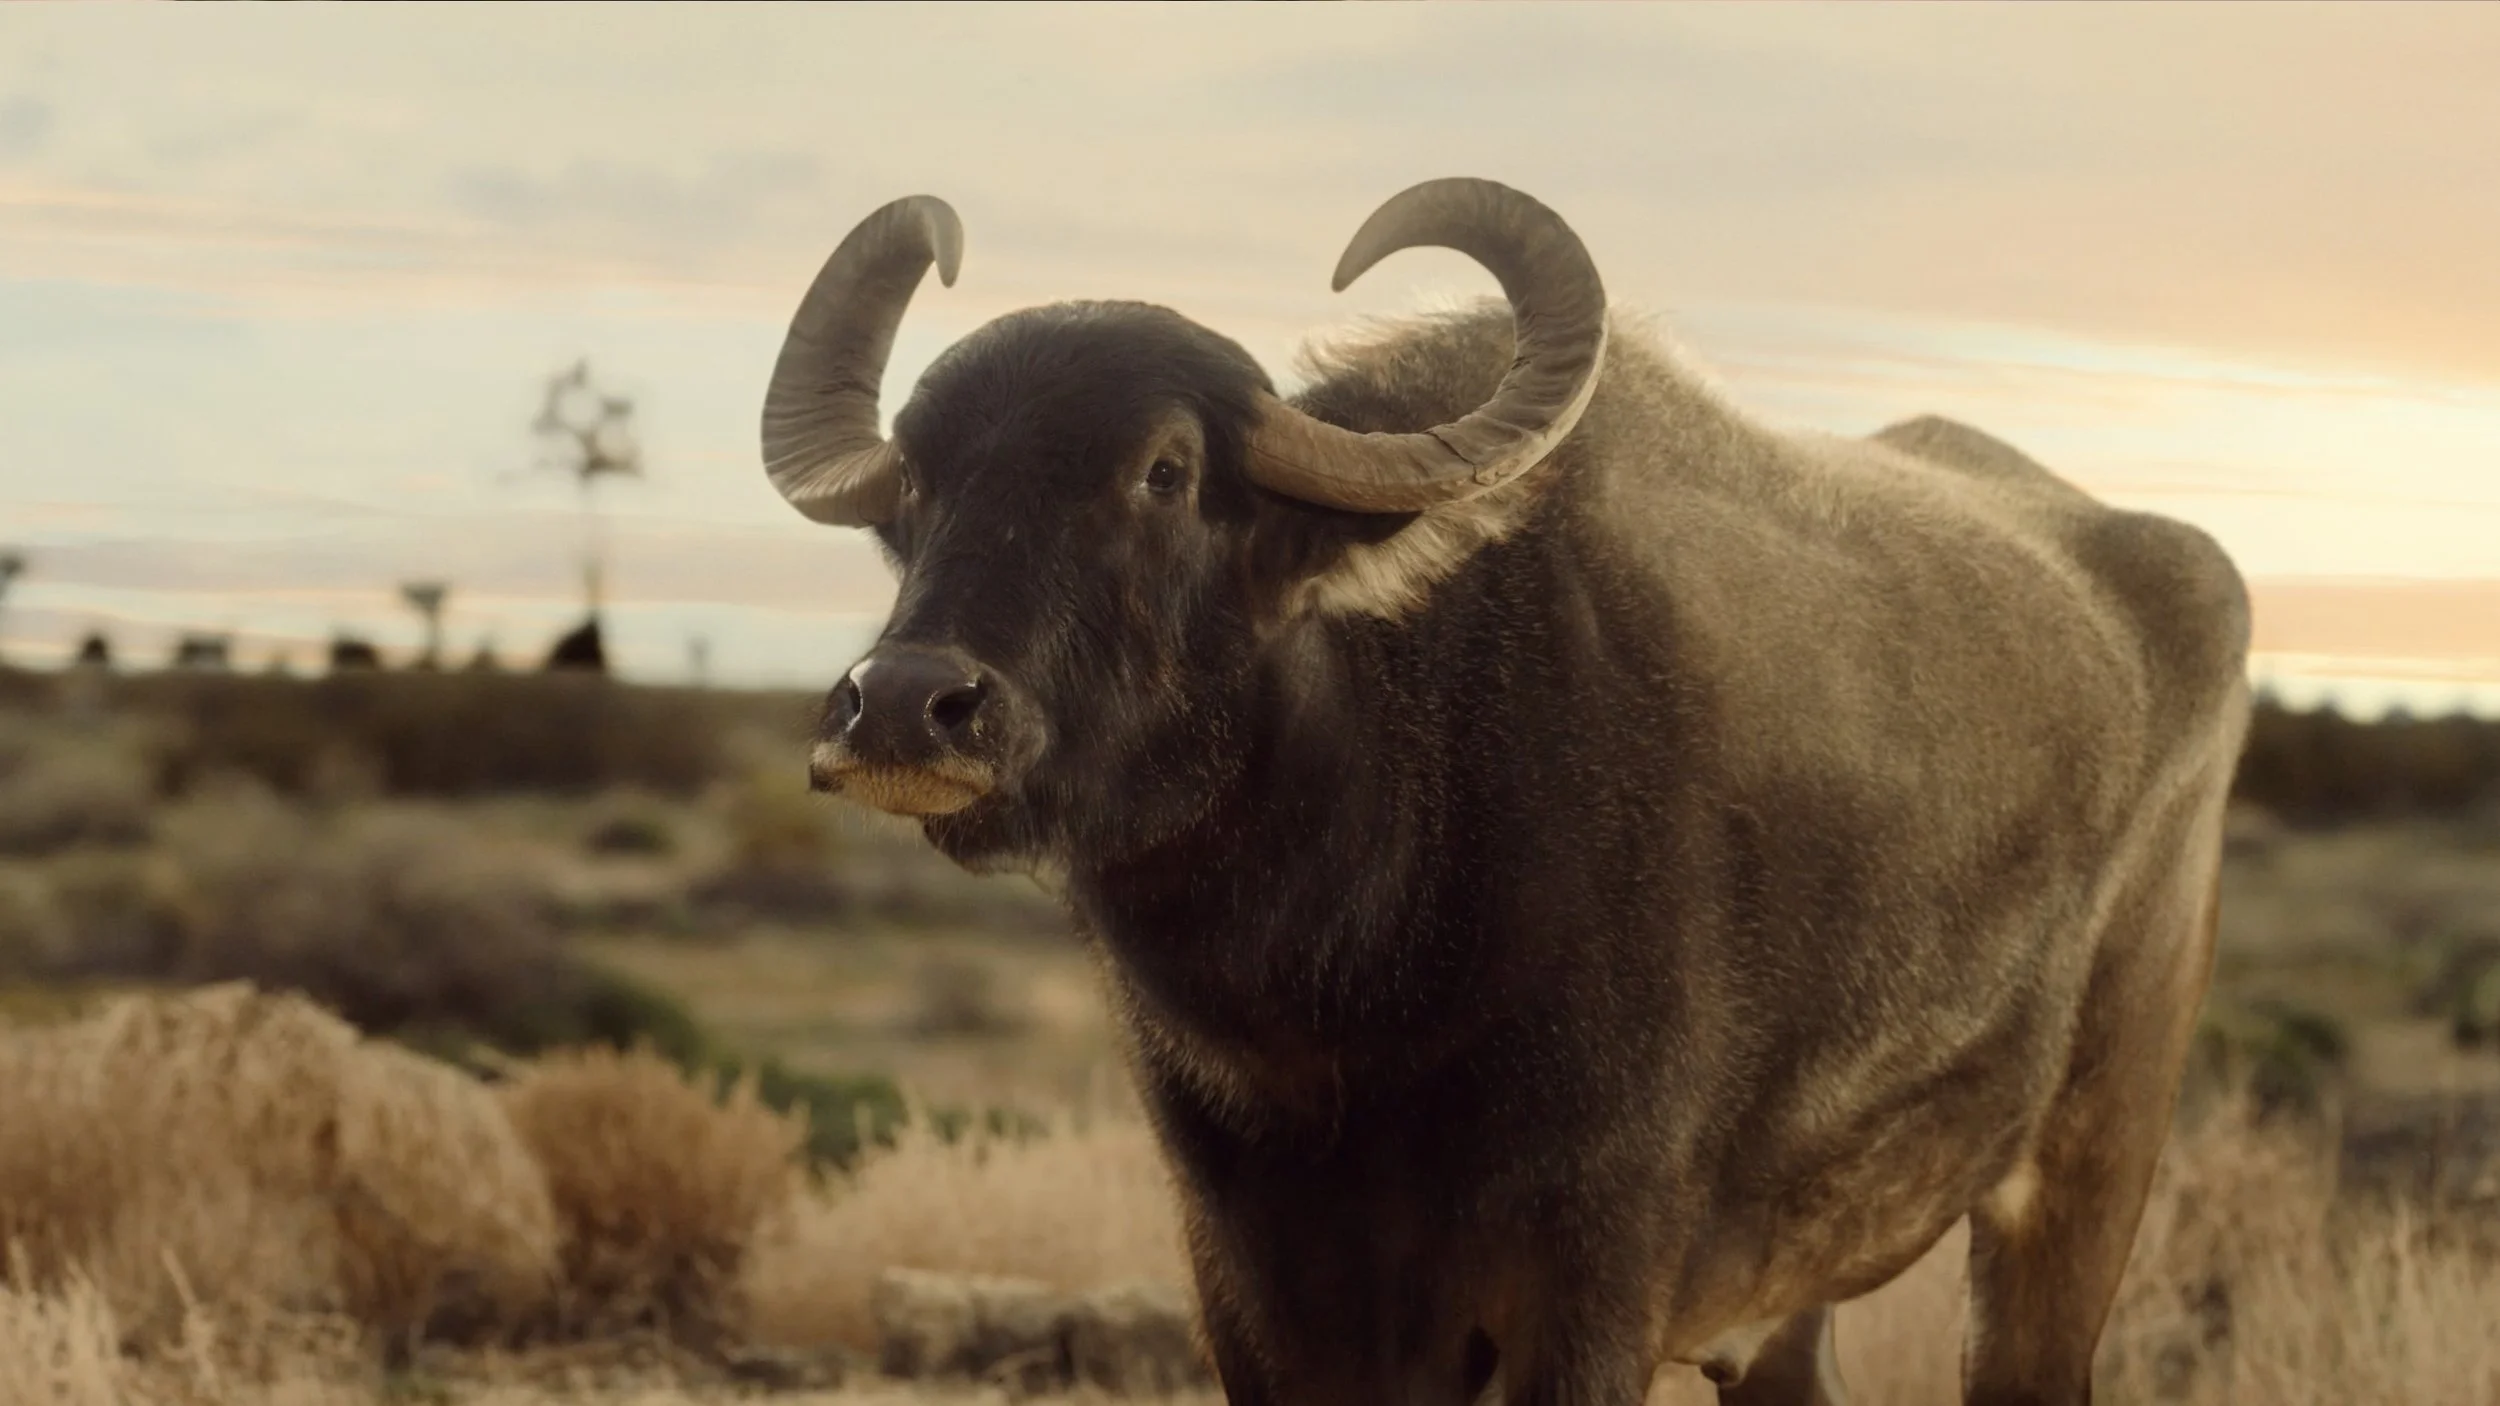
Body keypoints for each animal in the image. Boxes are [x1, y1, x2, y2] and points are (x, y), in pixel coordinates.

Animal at [759, 178, 2253, 1406]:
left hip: (2077, 1185)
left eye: (1164, 471)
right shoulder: (1255, 1283)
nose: (906, 702)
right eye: (918, 486)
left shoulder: (1587, 1278)